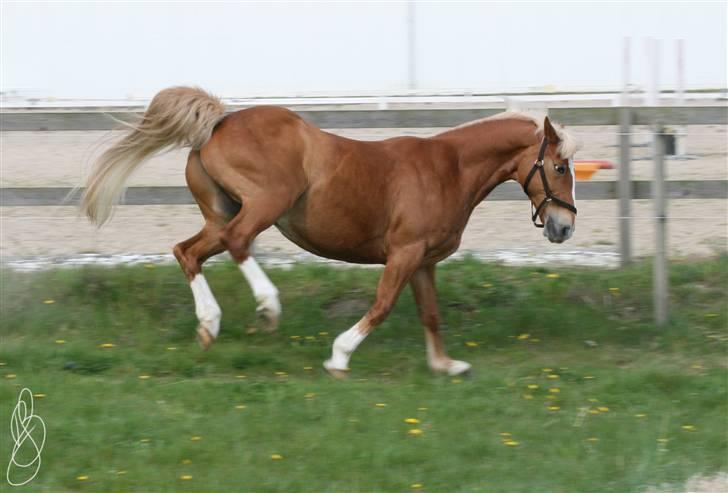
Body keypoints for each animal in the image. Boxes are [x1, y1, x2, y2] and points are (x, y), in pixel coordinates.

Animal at [79, 86, 576, 374]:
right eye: (558, 166)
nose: (564, 226)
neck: (447, 170)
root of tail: (219, 121)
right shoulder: (405, 252)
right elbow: (382, 305)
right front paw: (339, 355)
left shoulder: (424, 261)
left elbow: (430, 314)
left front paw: (446, 365)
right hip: (265, 204)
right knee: (238, 242)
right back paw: (268, 307)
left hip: (219, 214)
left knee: (188, 252)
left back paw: (209, 325)